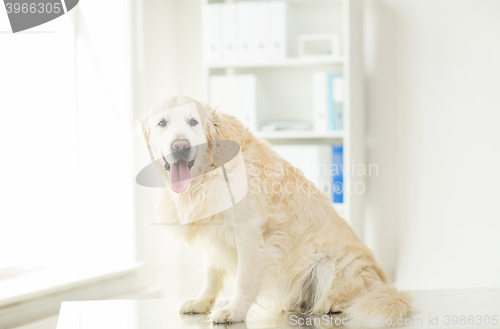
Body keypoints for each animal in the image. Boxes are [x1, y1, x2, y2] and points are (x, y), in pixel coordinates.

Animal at [139, 95, 412, 322]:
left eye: (193, 121)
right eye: (162, 123)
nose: (180, 146)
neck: (211, 172)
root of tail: (386, 286)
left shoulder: (249, 233)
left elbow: (244, 279)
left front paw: (234, 311)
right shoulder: (216, 234)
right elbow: (211, 274)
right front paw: (201, 302)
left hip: (330, 266)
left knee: (354, 298)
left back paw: (330, 305)